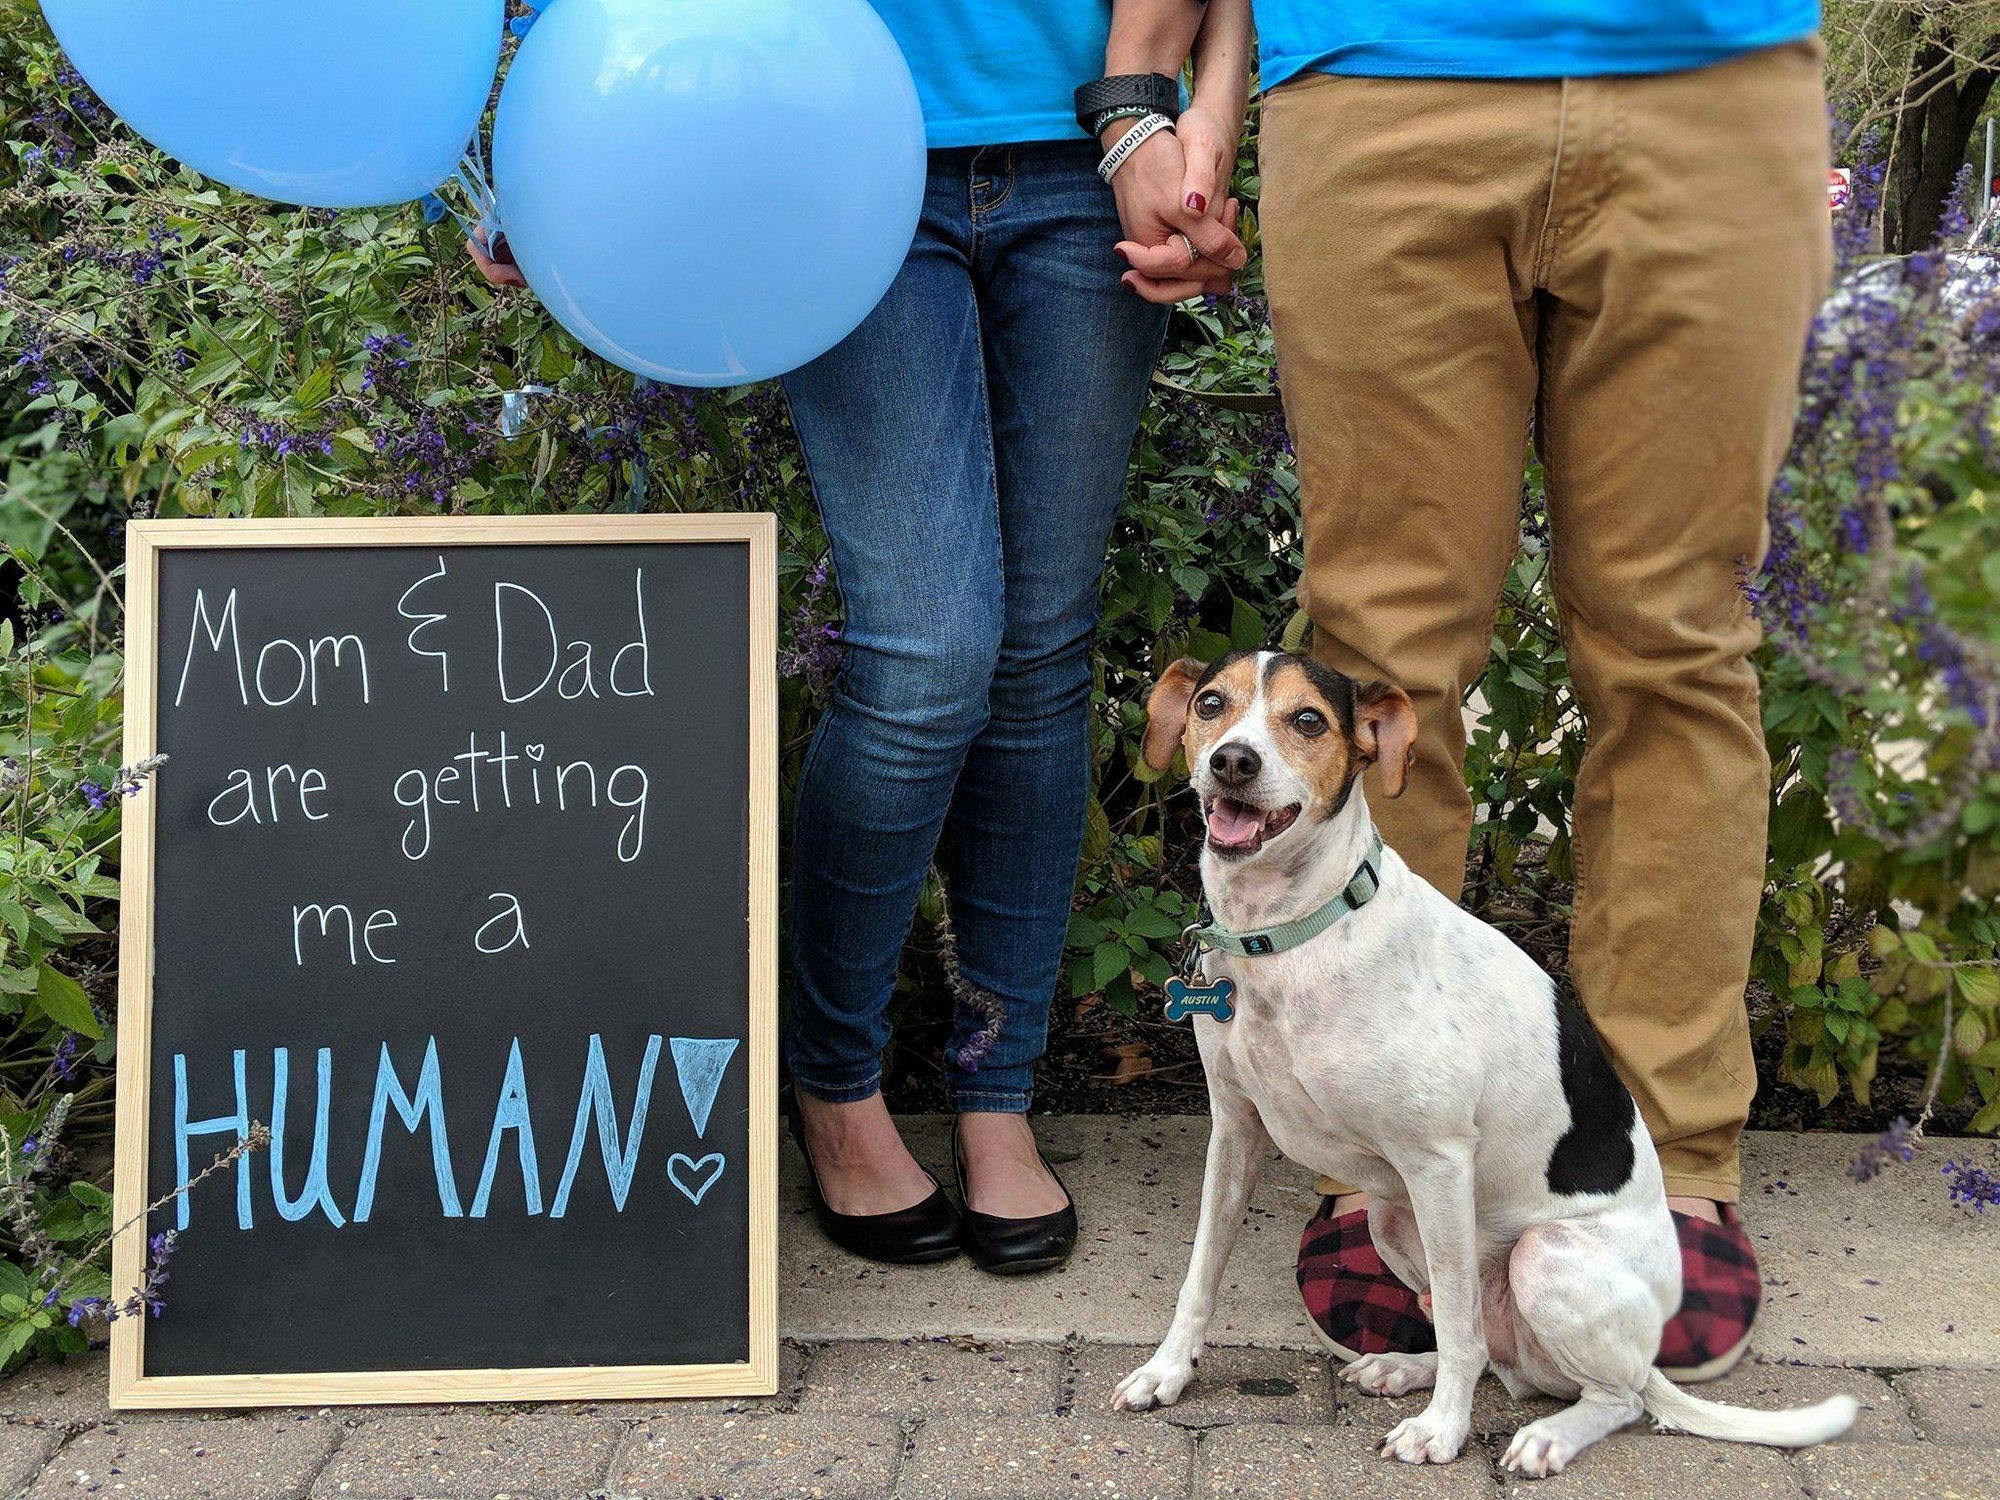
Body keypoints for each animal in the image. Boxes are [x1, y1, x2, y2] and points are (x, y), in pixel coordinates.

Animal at [1112, 650, 1857, 1476]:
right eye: (1212, 703)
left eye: (1308, 720)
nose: (1232, 762)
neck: (1294, 936)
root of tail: (1645, 1349)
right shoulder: (1236, 1130)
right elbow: (1200, 1275)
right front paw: (1168, 1372)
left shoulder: (1438, 1161)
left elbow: (1461, 1324)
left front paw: (1443, 1431)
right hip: (1392, 1218)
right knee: (1497, 1354)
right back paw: (1406, 1368)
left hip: (1539, 1255)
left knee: (1604, 1393)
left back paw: (1545, 1436)